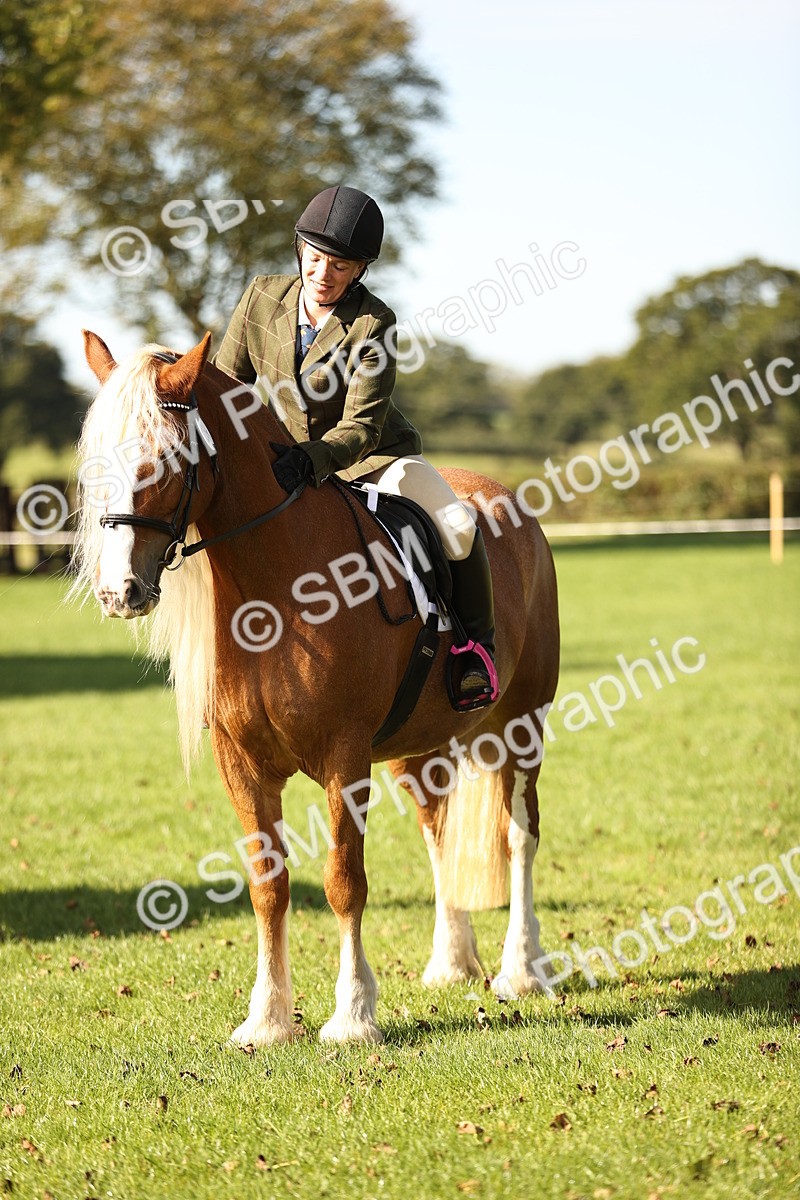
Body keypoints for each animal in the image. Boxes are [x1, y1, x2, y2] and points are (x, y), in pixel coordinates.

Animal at [73, 330, 560, 1045]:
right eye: (94, 462)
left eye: (161, 461)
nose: (118, 593)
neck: (276, 588)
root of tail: (504, 499)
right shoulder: (241, 764)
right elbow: (267, 885)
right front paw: (267, 1019)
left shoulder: (344, 758)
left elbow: (343, 881)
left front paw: (354, 1015)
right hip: (423, 748)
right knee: (438, 830)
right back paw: (451, 962)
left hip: (522, 723)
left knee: (519, 834)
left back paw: (523, 969)